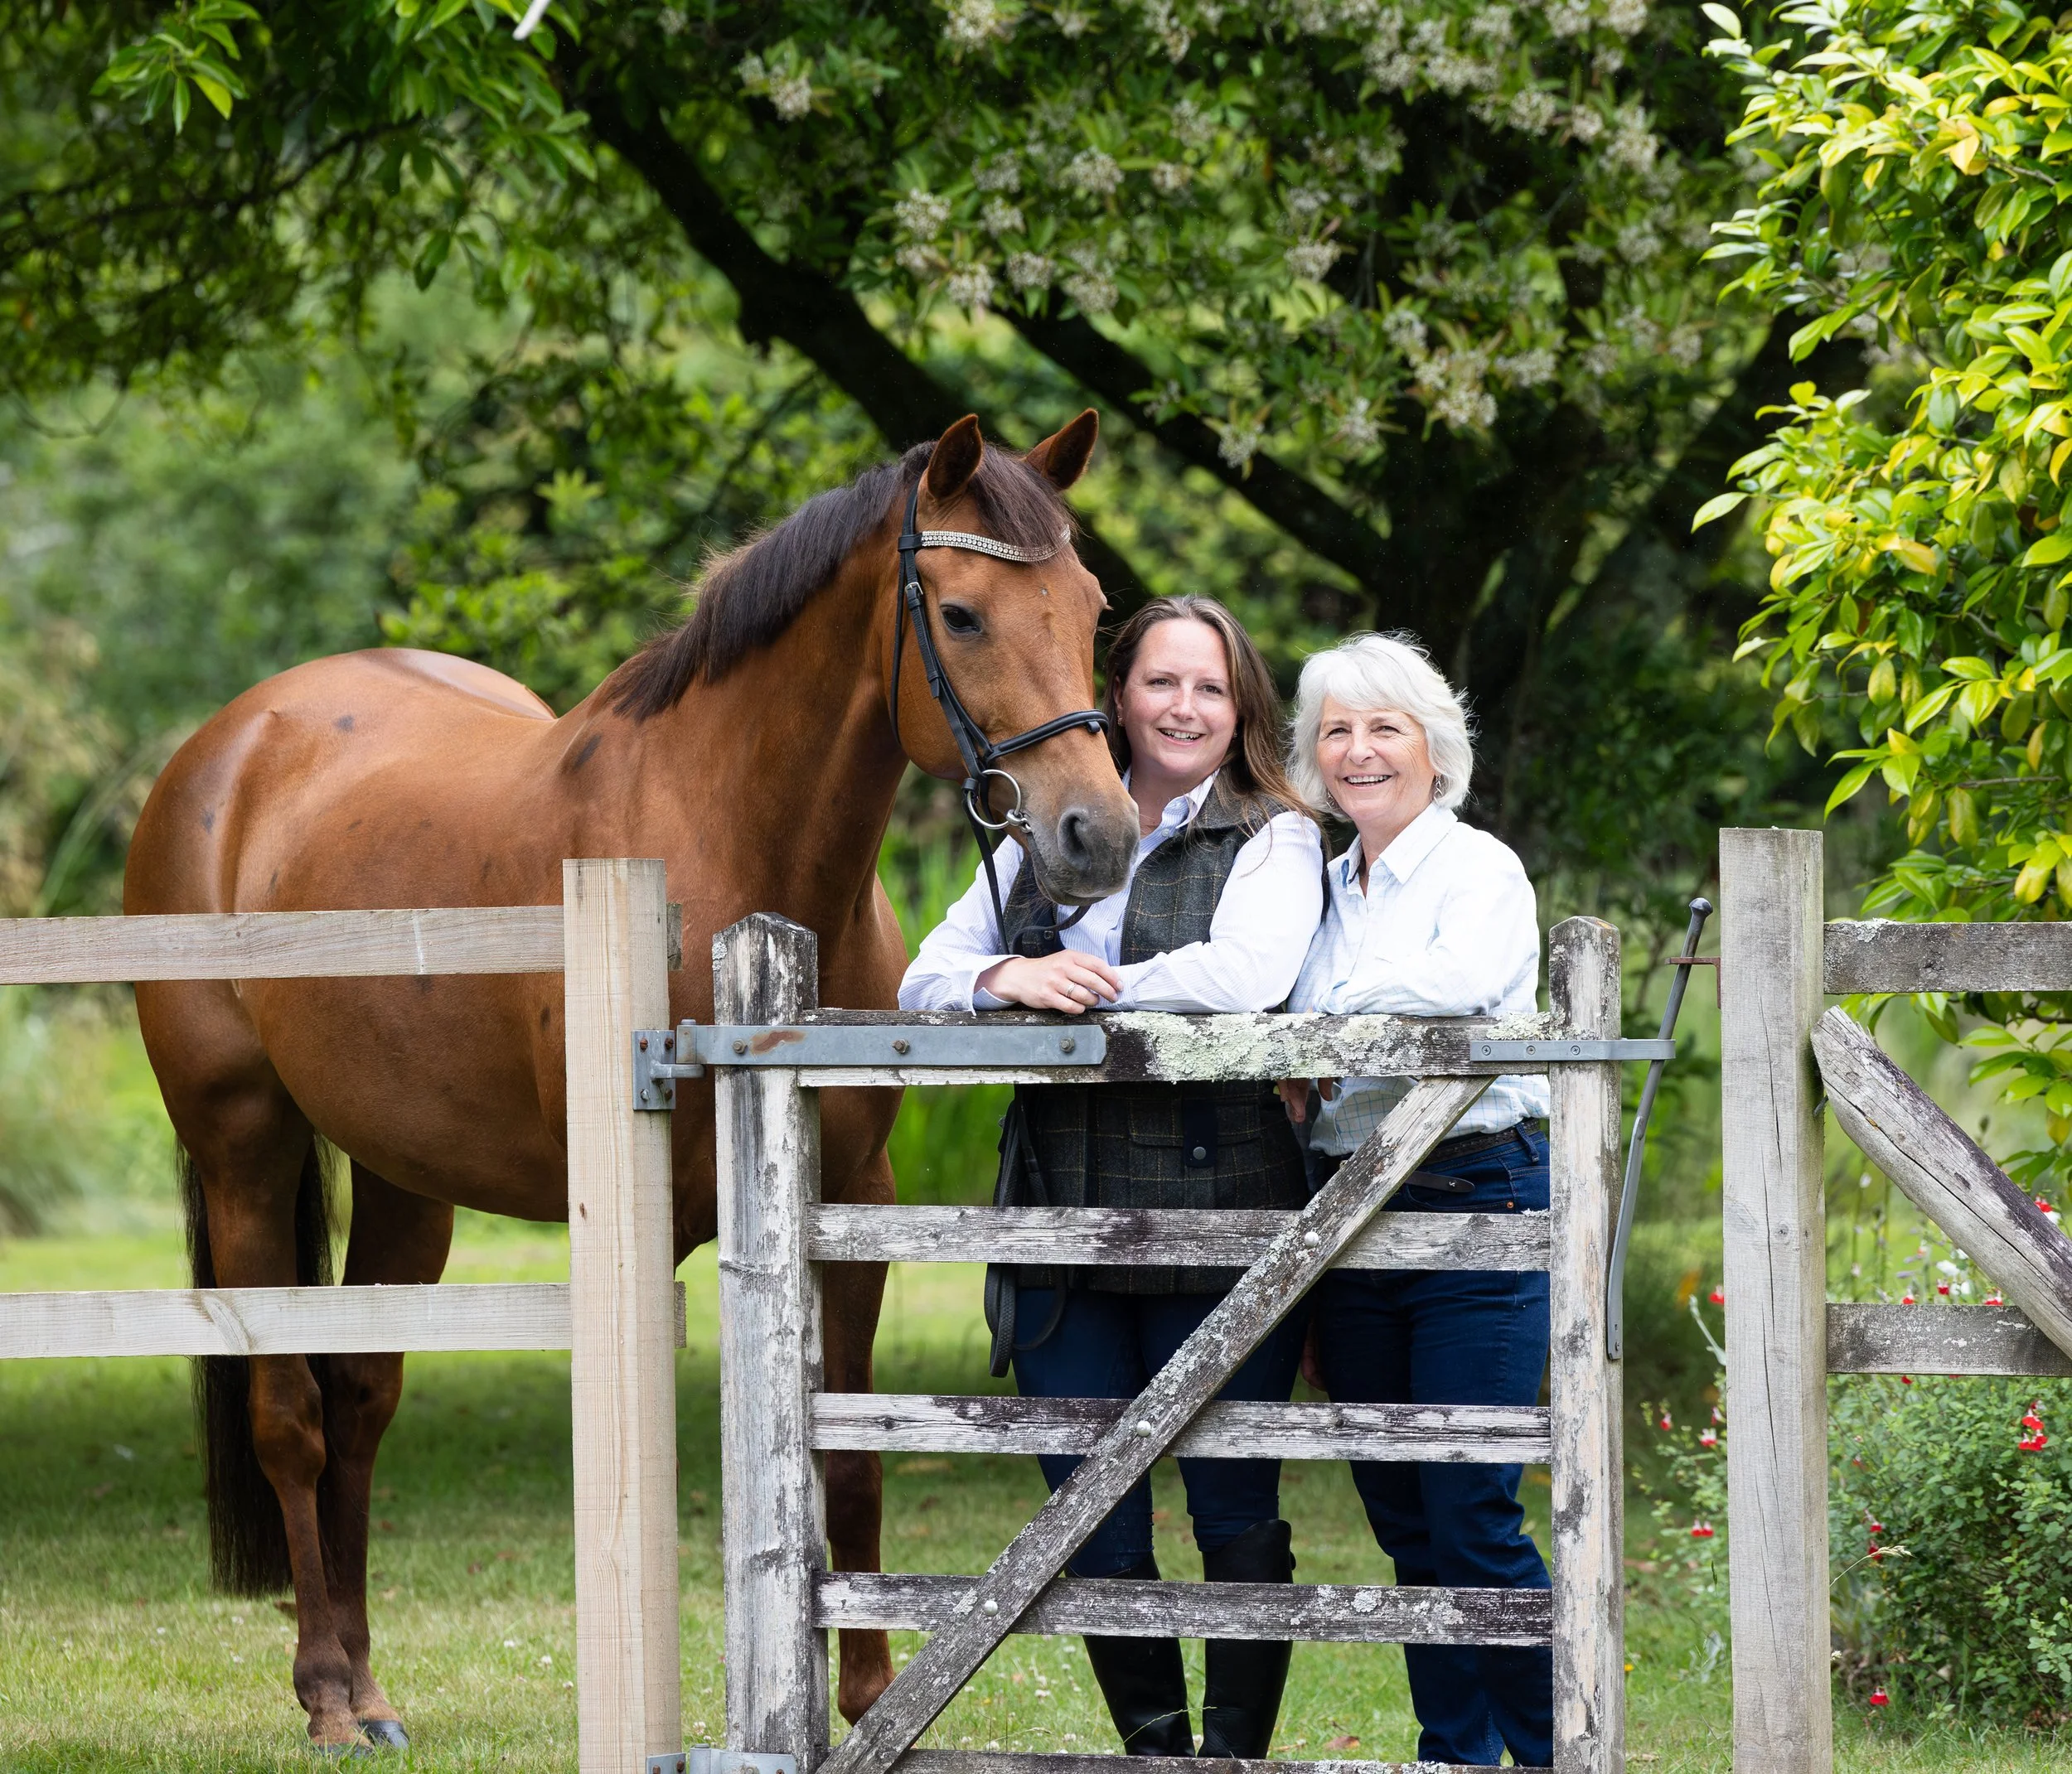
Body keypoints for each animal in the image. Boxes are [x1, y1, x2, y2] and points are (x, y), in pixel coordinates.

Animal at [122, 411, 1139, 1750]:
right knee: (288, 1416)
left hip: (407, 1185)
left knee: (360, 1399)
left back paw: (372, 1687)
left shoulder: (850, 1204)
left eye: (1090, 608)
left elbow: (850, 1455)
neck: (724, 848)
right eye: (963, 615)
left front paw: (872, 1703)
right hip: (246, 1152)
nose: (1098, 834)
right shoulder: (645, 1226)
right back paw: (331, 1697)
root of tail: (229, 746)